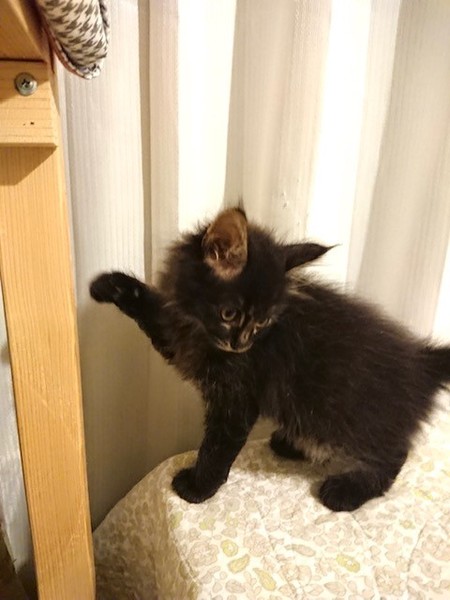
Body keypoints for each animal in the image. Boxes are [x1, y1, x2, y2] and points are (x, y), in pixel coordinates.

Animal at [90, 208, 450, 511]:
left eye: (262, 322)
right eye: (230, 314)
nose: (241, 344)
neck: (197, 329)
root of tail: (422, 361)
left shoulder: (235, 400)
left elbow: (217, 447)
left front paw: (197, 487)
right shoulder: (174, 335)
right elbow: (149, 305)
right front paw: (107, 285)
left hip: (348, 413)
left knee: (392, 454)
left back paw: (345, 492)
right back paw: (292, 445)